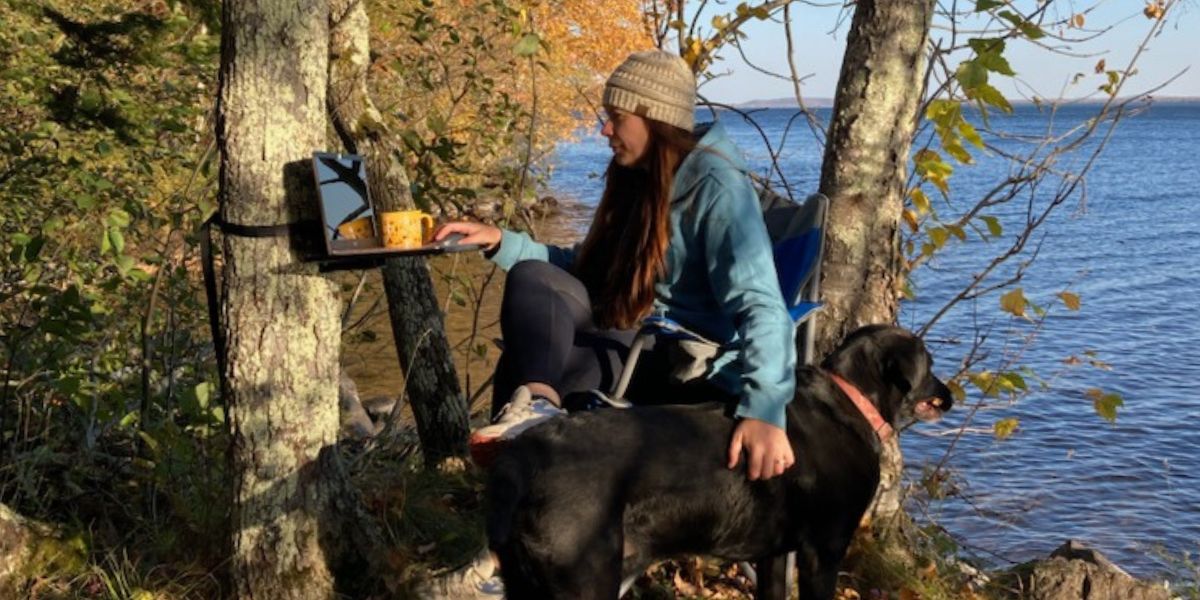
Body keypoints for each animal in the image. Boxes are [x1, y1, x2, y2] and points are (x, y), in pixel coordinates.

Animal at [482, 326, 950, 597]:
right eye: (930, 365)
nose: (949, 395)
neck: (849, 401)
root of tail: (524, 455)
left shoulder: (775, 554)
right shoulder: (824, 550)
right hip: (587, 578)